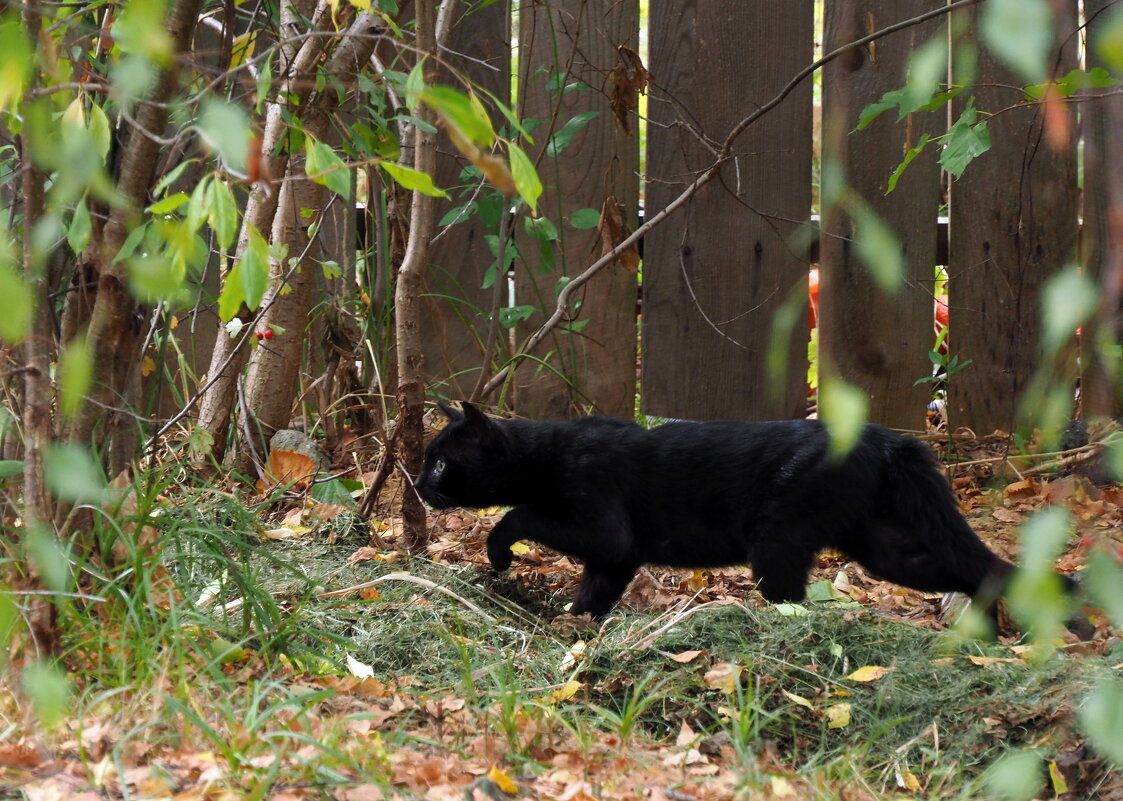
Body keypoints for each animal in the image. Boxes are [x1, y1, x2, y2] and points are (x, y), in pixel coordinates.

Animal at [413, 399, 1019, 620]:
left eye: (440, 463)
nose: (417, 484)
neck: (546, 454)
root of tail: (885, 436)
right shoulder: (616, 558)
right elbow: (594, 592)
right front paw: (578, 629)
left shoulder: (604, 530)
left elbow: (521, 514)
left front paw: (498, 554)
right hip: (882, 547)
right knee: (974, 570)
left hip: (778, 538)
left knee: (789, 599)